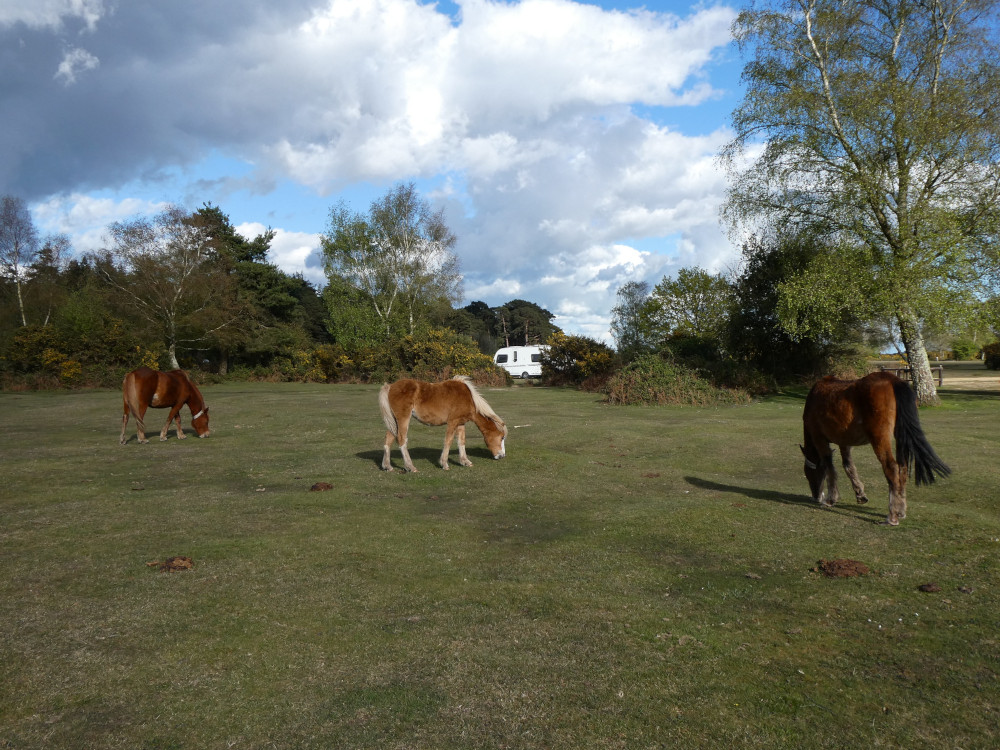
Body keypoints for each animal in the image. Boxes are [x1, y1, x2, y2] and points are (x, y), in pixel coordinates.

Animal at [801, 371, 950, 525]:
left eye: (808, 473)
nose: (816, 496)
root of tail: (893, 380)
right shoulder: (844, 441)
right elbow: (848, 466)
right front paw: (860, 494)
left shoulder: (819, 438)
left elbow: (829, 466)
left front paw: (831, 499)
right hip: (900, 436)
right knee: (902, 468)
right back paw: (900, 510)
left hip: (879, 438)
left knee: (891, 467)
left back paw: (892, 516)